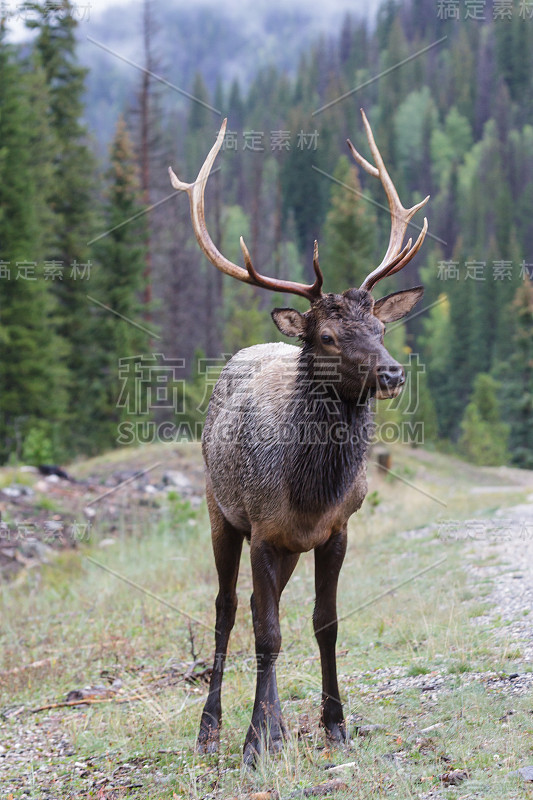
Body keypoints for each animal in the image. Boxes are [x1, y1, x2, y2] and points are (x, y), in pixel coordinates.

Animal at [170, 108, 428, 764]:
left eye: (379, 327)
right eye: (328, 337)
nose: (392, 373)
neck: (309, 489)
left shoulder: (335, 529)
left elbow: (323, 622)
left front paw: (334, 724)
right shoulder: (262, 528)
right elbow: (265, 632)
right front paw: (257, 740)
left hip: (284, 546)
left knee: (265, 605)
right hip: (219, 510)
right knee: (227, 609)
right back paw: (211, 727)